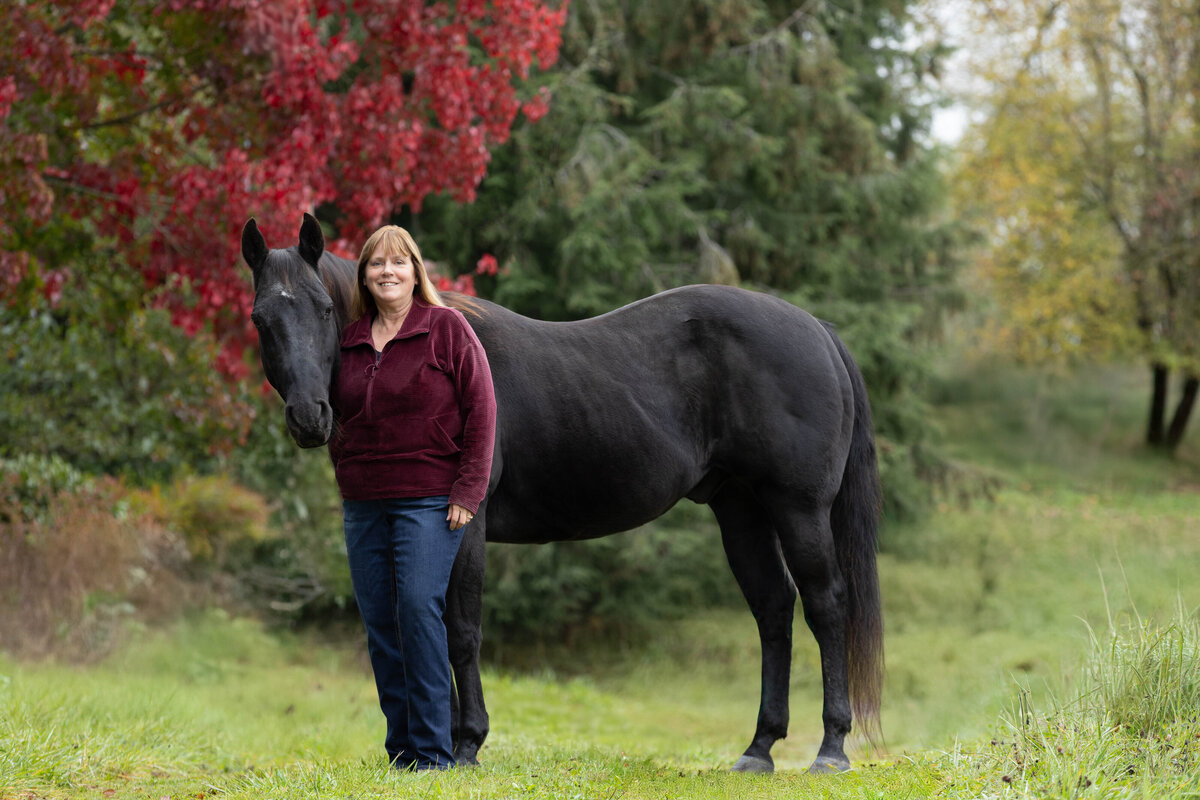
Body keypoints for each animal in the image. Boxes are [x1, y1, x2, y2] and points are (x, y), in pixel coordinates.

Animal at [241, 214, 883, 777]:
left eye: (325, 309)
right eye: (260, 319)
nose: (309, 417)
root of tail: (817, 330)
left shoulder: (463, 525)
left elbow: (460, 630)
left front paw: (465, 744)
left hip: (798, 509)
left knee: (826, 606)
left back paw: (831, 748)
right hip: (742, 509)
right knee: (773, 609)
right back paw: (759, 749)